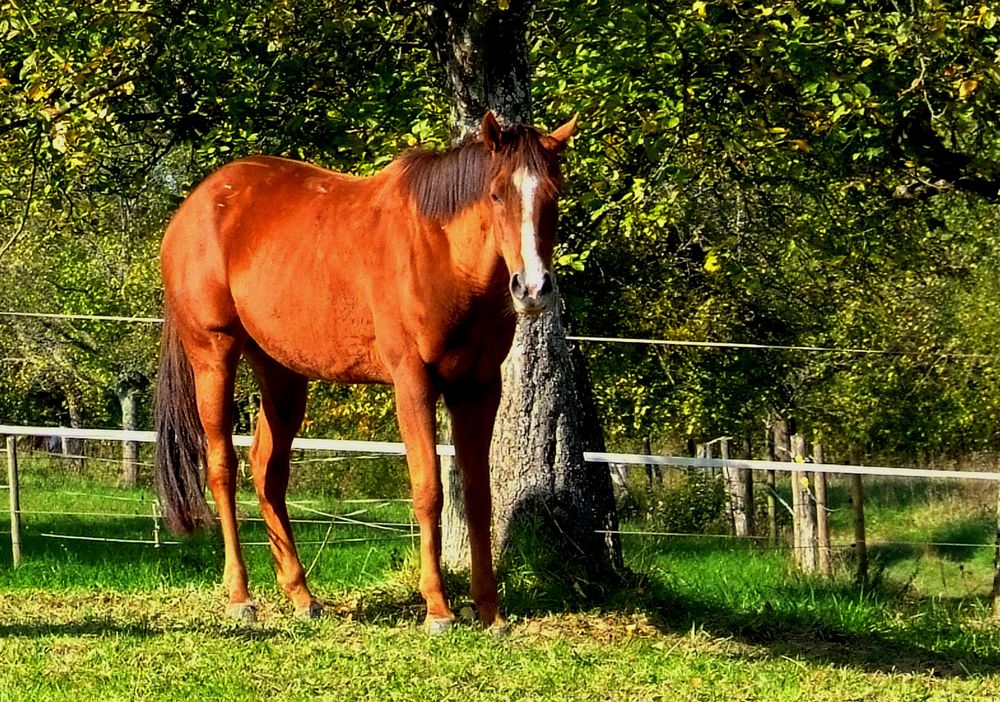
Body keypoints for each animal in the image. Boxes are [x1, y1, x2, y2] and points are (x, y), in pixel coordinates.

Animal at [155, 113, 580, 636]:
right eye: (498, 194)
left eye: (554, 193)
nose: (533, 288)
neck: (440, 253)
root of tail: (195, 206)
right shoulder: (413, 382)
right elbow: (428, 490)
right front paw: (438, 609)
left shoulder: (479, 387)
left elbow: (479, 497)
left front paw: (490, 611)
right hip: (213, 355)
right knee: (222, 467)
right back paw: (240, 597)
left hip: (282, 373)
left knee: (268, 471)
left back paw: (301, 595)